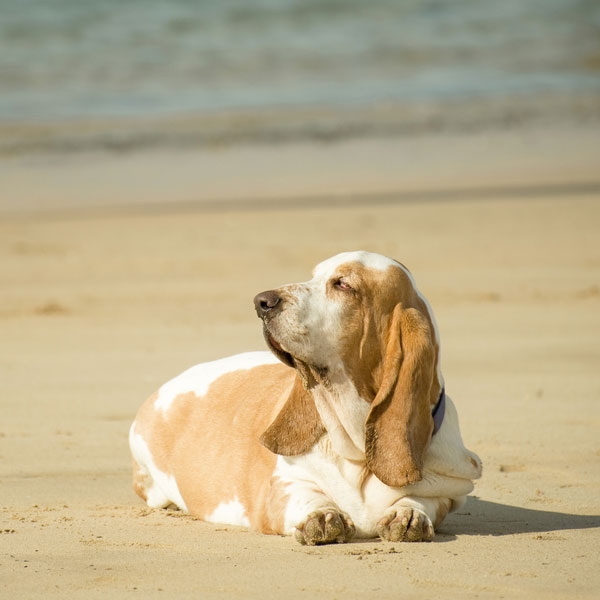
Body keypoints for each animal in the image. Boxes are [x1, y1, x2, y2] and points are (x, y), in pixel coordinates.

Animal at [129, 251, 480, 548]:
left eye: (343, 284)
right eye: (314, 276)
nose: (262, 302)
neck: (356, 452)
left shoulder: (448, 492)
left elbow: (422, 500)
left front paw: (408, 514)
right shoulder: (283, 487)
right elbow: (306, 496)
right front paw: (321, 515)